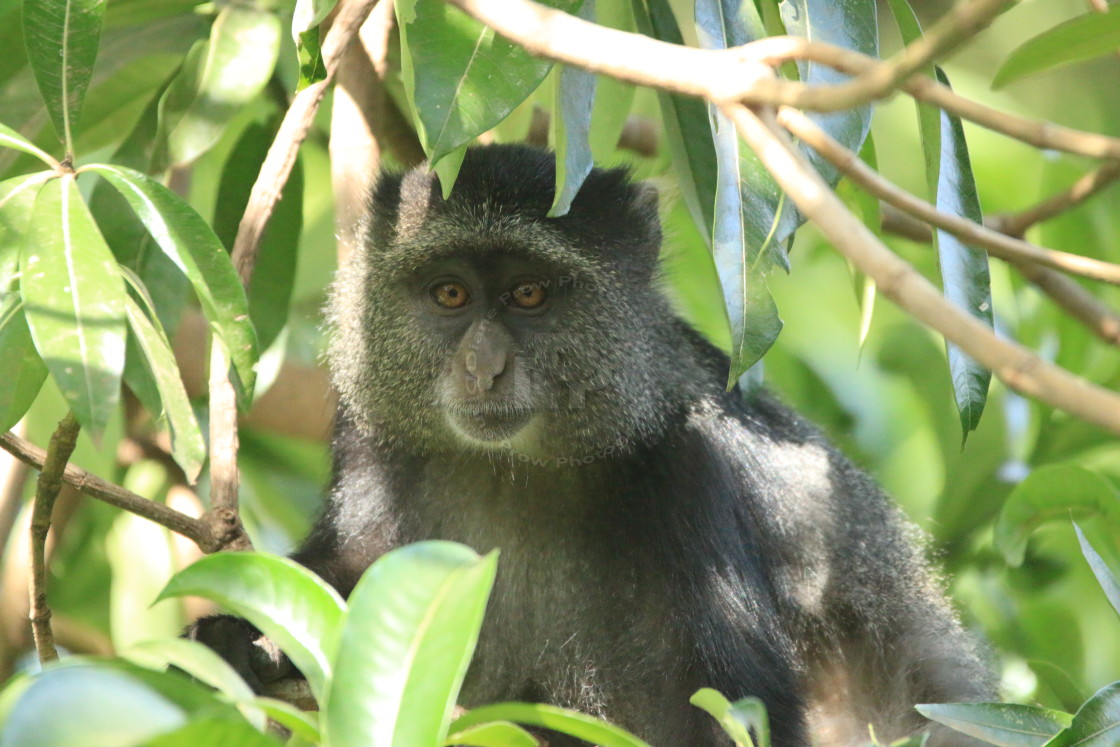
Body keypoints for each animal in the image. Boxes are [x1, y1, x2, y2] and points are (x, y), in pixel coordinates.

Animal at [188, 143, 994, 743]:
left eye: (529, 294)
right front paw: (232, 636)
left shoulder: (689, 470)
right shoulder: (370, 430)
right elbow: (343, 567)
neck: (519, 466)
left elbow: (730, 711)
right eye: (450, 293)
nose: (483, 366)